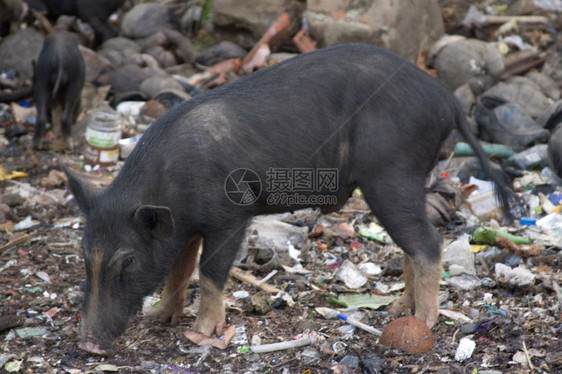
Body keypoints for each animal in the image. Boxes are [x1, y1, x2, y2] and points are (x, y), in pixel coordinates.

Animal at [63, 42, 516, 356]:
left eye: (128, 261)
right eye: (84, 255)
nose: (86, 343)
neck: (169, 183)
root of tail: (448, 101)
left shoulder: (231, 215)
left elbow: (209, 272)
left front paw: (199, 334)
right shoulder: (186, 228)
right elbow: (179, 269)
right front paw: (158, 317)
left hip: (392, 175)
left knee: (429, 244)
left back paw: (423, 321)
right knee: (412, 244)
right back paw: (395, 312)